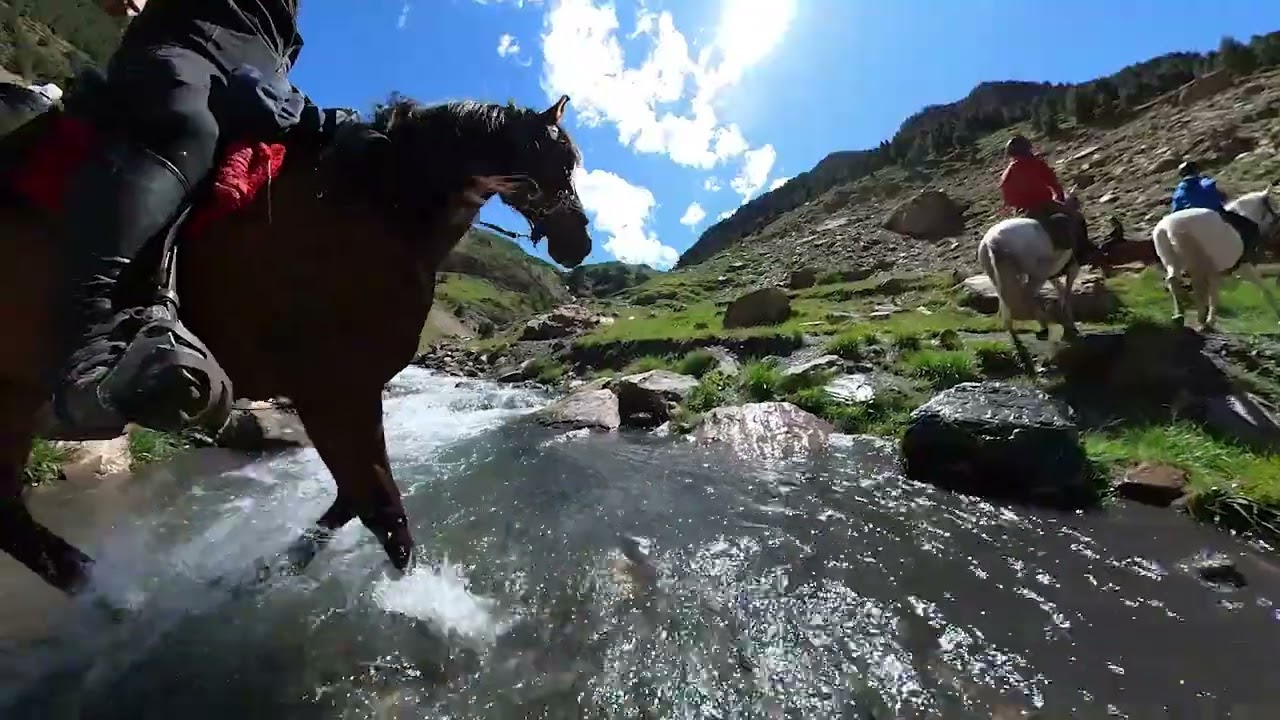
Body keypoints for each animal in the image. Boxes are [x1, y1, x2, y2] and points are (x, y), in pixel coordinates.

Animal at [0, 91, 593, 598]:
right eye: (557, 160)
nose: (580, 243)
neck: (375, 210)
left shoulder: (348, 397)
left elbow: (355, 500)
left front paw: (276, 567)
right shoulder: (333, 392)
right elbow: (383, 511)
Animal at [976, 194, 1113, 344]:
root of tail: (992, 241)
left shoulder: (1052, 275)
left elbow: (1061, 291)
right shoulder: (1072, 270)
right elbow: (1066, 294)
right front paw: (1069, 324)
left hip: (1001, 276)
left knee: (1007, 300)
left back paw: (1016, 331)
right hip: (1036, 275)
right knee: (1025, 297)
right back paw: (1044, 324)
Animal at [1134, 184, 1280, 331]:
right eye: (1271, 207)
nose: (1273, 233)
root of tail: (1167, 228)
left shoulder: (1215, 273)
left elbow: (1213, 295)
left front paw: (1210, 321)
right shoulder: (1243, 266)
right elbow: (1264, 289)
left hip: (1172, 261)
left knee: (1174, 281)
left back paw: (1180, 316)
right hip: (1195, 263)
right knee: (1196, 287)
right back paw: (1198, 317)